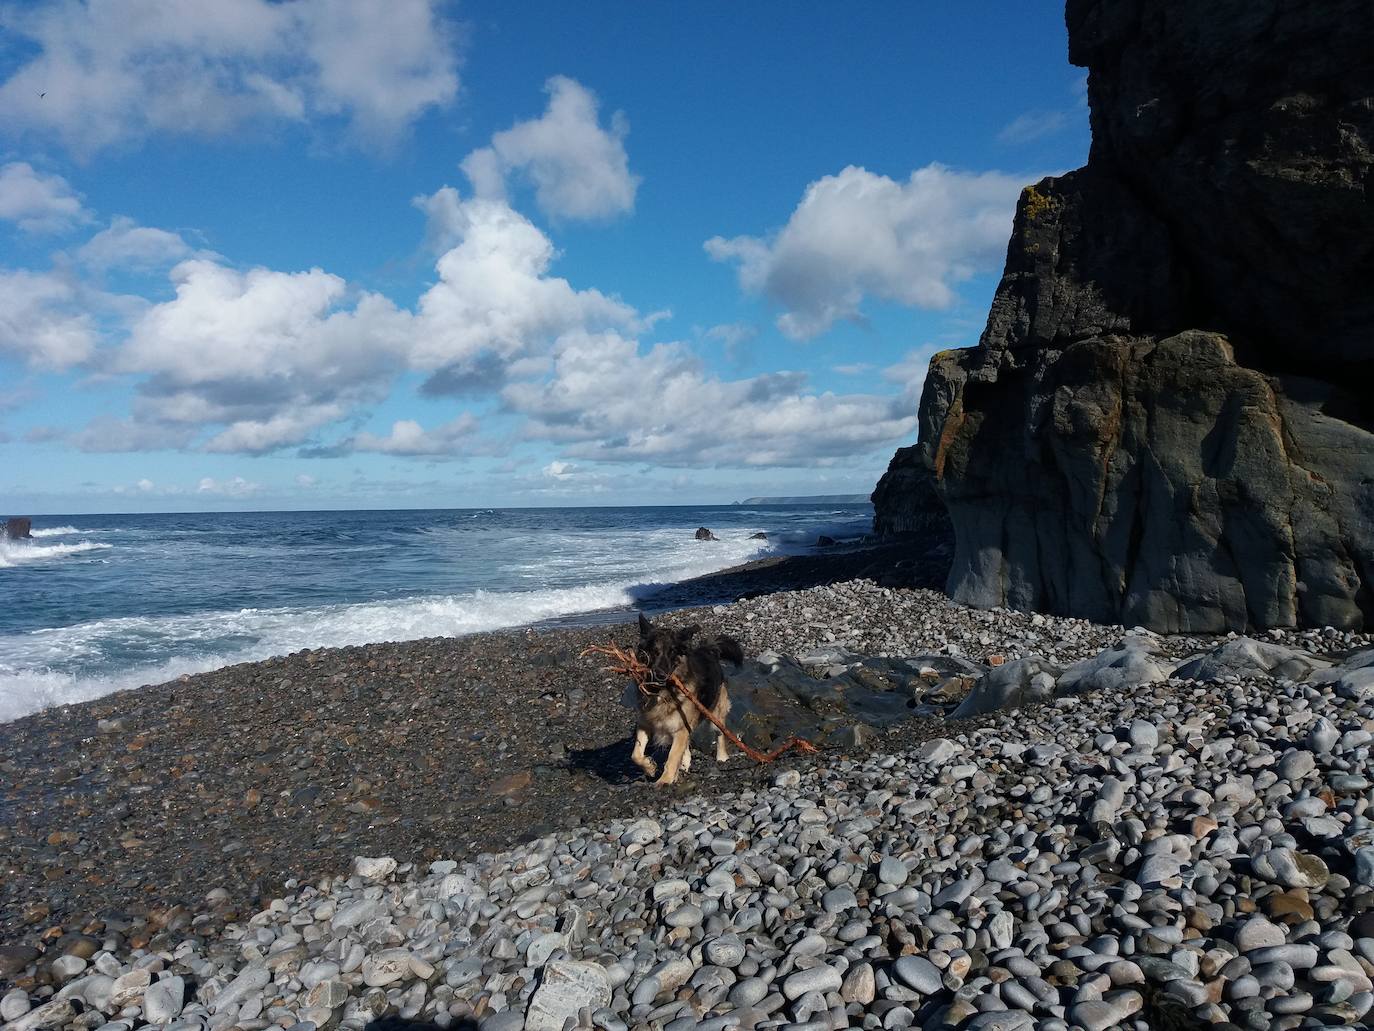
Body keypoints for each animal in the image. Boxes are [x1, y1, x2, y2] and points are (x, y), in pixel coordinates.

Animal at [629, 613, 741, 791]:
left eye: (672, 652)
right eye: (654, 651)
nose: (660, 675)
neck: (663, 693)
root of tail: (708, 650)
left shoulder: (680, 729)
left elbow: (672, 757)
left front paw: (665, 780)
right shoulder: (645, 724)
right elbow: (636, 754)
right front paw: (650, 767)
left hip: (715, 714)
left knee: (720, 734)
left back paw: (722, 757)